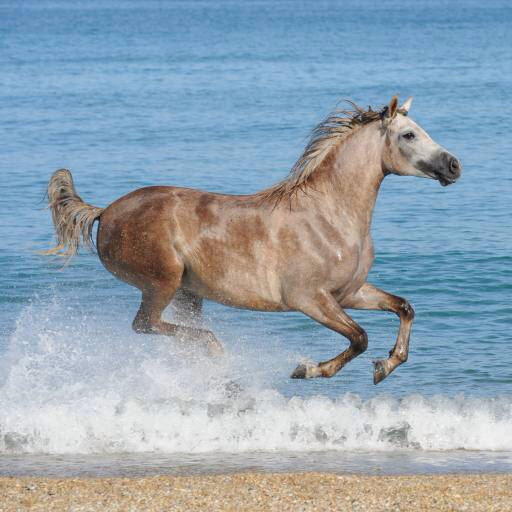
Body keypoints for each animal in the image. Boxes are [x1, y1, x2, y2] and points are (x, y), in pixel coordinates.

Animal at [46, 96, 462, 384]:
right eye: (409, 134)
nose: (454, 165)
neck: (328, 214)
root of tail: (105, 212)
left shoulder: (349, 293)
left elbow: (404, 308)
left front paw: (386, 366)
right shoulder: (310, 299)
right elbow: (359, 338)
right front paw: (308, 369)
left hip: (187, 293)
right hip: (160, 283)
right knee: (145, 325)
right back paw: (216, 350)